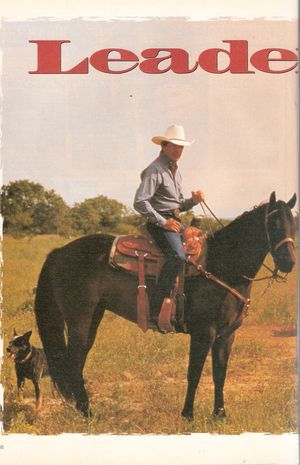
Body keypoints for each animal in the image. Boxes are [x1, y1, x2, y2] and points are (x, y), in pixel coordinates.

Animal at [34, 192, 296, 416]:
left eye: (295, 223)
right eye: (274, 224)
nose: (289, 262)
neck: (221, 264)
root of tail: (60, 252)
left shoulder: (226, 335)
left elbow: (220, 374)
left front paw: (219, 414)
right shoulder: (203, 332)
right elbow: (194, 373)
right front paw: (188, 414)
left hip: (93, 317)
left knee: (78, 359)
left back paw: (83, 408)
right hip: (79, 318)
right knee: (73, 359)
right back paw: (86, 412)